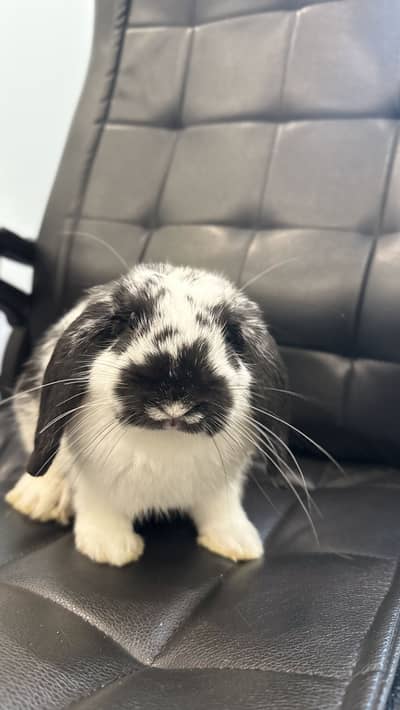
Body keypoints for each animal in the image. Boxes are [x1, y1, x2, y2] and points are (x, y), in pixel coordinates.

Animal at [5, 263, 289, 566]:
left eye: (232, 335)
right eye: (123, 324)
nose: (177, 394)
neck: (166, 444)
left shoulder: (223, 487)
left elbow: (222, 511)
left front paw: (238, 543)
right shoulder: (95, 482)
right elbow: (99, 508)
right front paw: (111, 549)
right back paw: (37, 500)